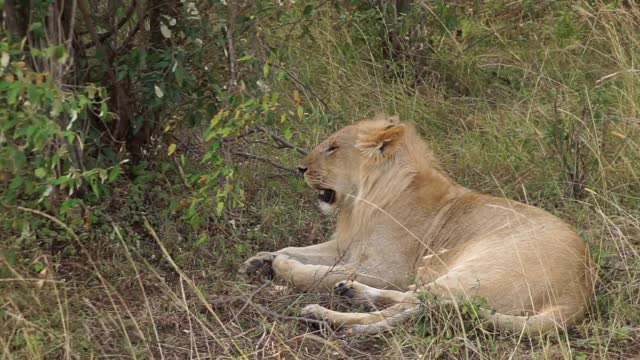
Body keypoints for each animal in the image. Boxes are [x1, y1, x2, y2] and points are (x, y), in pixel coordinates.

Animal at [240, 114, 596, 334]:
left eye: (333, 147)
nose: (299, 168)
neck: (362, 201)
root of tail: (577, 296)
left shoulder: (387, 268)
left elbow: (316, 273)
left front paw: (283, 267)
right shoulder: (347, 246)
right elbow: (297, 248)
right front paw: (260, 260)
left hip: (467, 271)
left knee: (414, 305)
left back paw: (326, 316)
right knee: (412, 301)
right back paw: (351, 292)